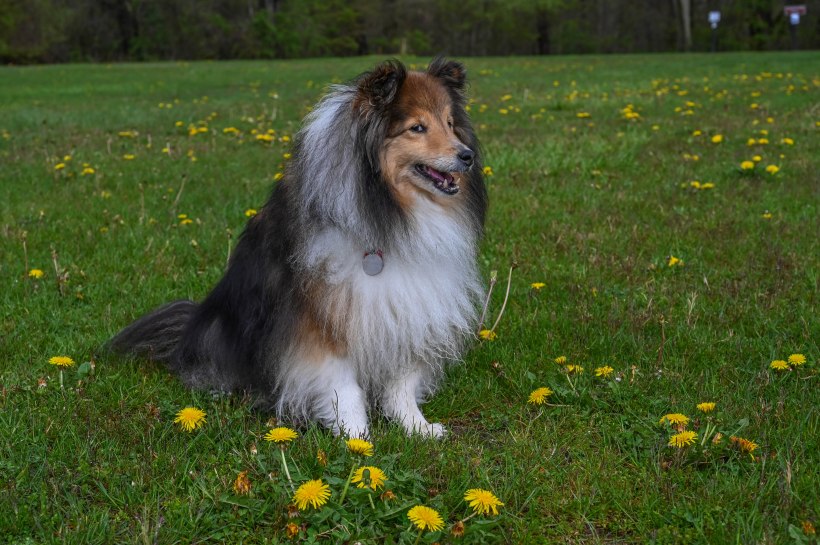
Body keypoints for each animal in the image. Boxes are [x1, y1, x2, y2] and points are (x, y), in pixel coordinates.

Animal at [109, 57, 487, 438]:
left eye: (450, 124)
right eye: (417, 128)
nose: (467, 156)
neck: (392, 216)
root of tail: (188, 327)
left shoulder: (410, 307)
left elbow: (402, 382)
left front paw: (415, 426)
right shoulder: (322, 321)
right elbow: (344, 385)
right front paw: (356, 437)